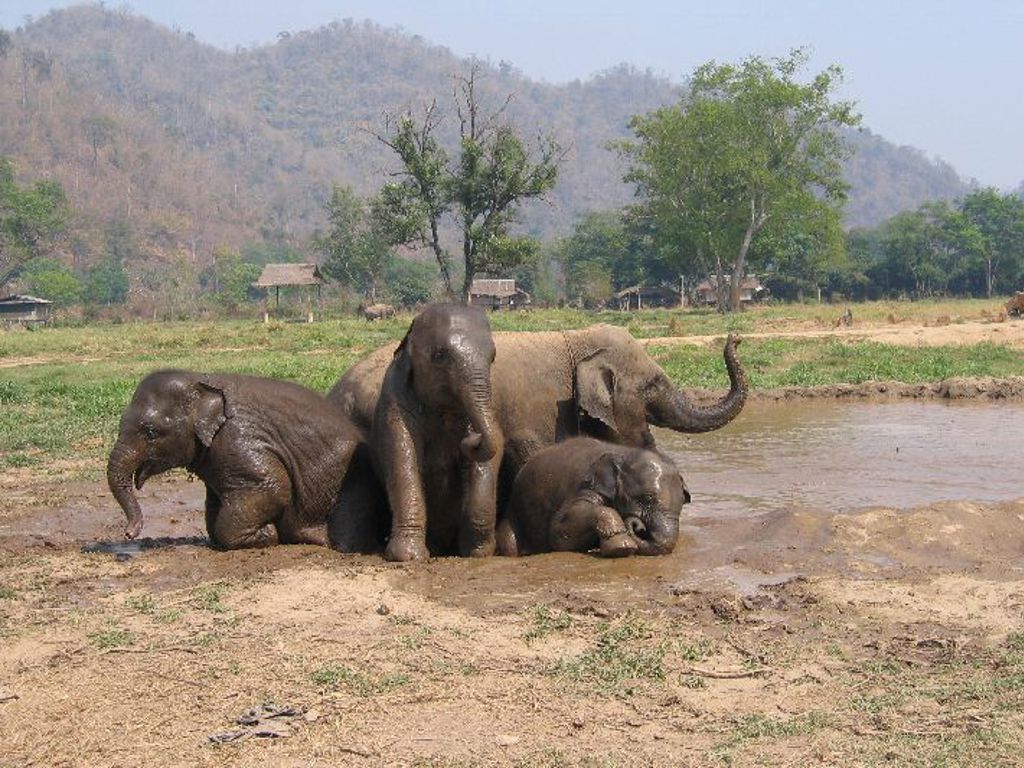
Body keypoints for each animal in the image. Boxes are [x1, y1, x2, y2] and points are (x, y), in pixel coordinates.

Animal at [107, 370, 386, 551]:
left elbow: (273, 488)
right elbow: (214, 508)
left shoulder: (239, 438)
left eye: (150, 432)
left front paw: (268, 535)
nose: (129, 533)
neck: (202, 380)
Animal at [371, 303, 502, 562]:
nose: (471, 438)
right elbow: (402, 460)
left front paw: (477, 553)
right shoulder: (394, 401)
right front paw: (408, 557)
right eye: (439, 355)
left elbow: (487, 459)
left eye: (493, 357)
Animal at [496, 437, 690, 557]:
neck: (623, 453)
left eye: (682, 503)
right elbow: (559, 533)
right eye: (647, 499)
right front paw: (622, 547)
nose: (637, 525)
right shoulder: (585, 486)